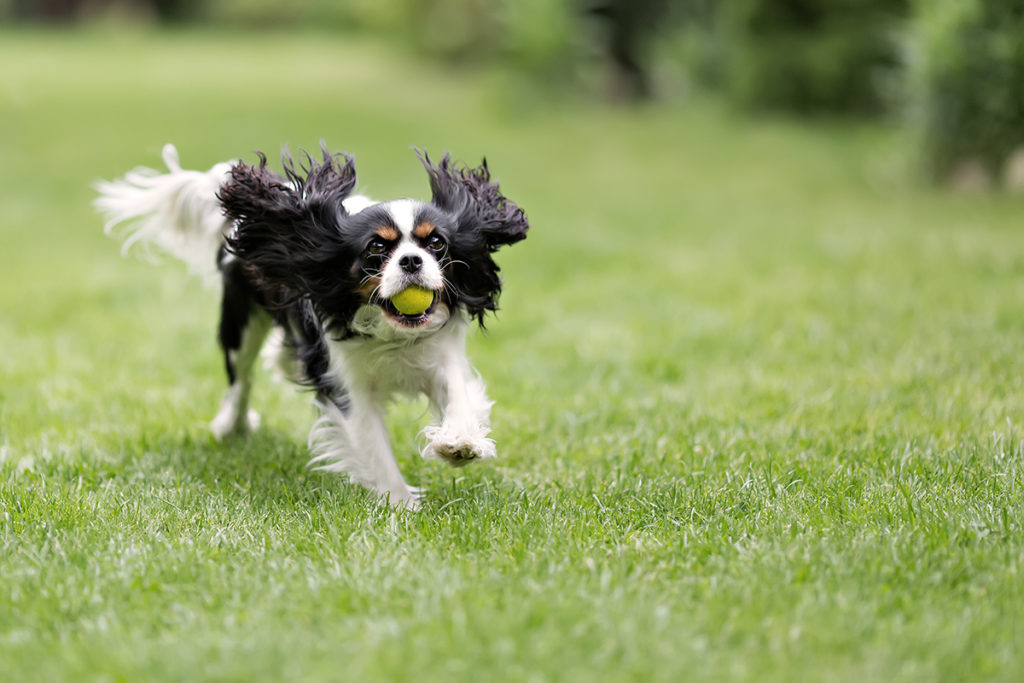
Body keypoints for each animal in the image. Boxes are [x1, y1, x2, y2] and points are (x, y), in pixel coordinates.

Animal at [94, 144, 528, 507]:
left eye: (436, 243)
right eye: (376, 247)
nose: (411, 261)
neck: (392, 335)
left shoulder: (440, 354)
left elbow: (458, 395)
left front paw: (458, 444)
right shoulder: (346, 386)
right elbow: (374, 446)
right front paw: (400, 505)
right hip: (240, 328)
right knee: (241, 382)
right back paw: (232, 426)